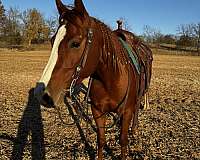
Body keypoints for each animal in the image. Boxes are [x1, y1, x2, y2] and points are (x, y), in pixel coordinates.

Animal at [34, 0, 152, 159]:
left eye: (76, 43)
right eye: (53, 41)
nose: (42, 93)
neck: (111, 79)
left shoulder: (127, 111)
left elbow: (123, 141)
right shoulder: (97, 111)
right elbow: (101, 140)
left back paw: (134, 129)